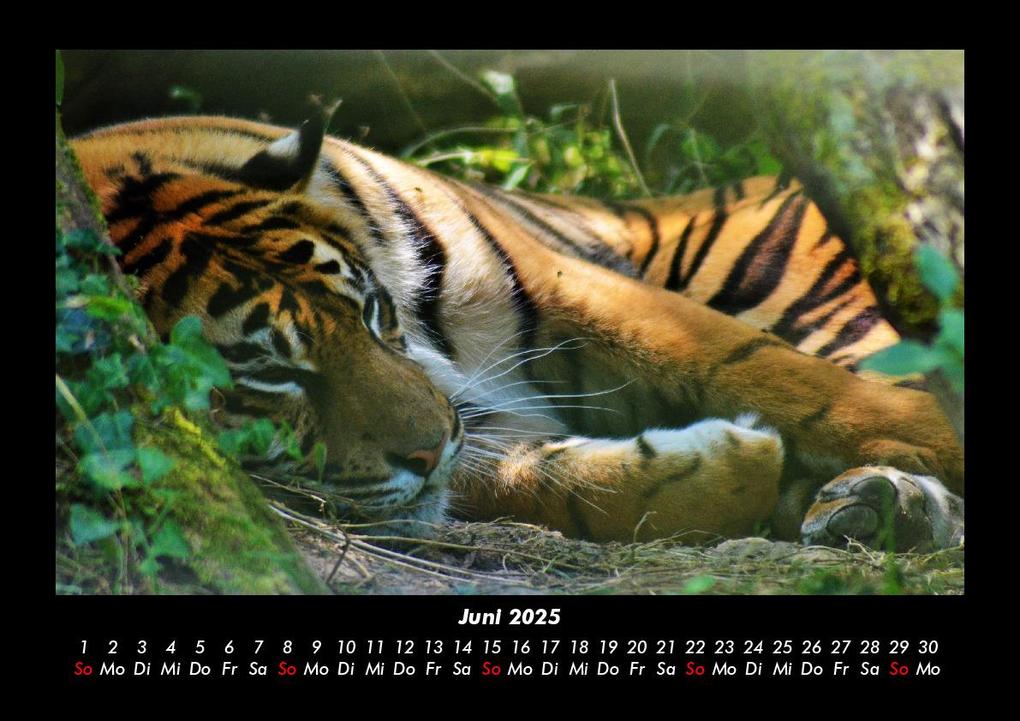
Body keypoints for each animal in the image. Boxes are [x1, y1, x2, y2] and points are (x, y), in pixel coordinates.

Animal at [70, 112, 965, 553]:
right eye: (267, 376)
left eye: (372, 312)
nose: (433, 443)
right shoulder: (468, 430)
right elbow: (548, 481)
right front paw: (723, 470)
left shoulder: (563, 282)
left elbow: (767, 370)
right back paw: (878, 506)